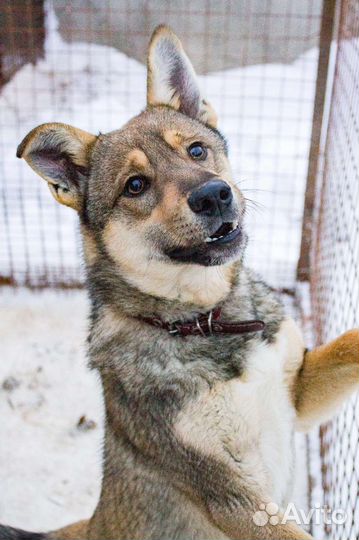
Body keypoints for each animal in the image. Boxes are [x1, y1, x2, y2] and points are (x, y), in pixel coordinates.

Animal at [1, 24, 358, 540]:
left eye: (195, 150)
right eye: (135, 185)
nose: (214, 195)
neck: (208, 320)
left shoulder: (298, 395)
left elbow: (348, 345)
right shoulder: (231, 496)